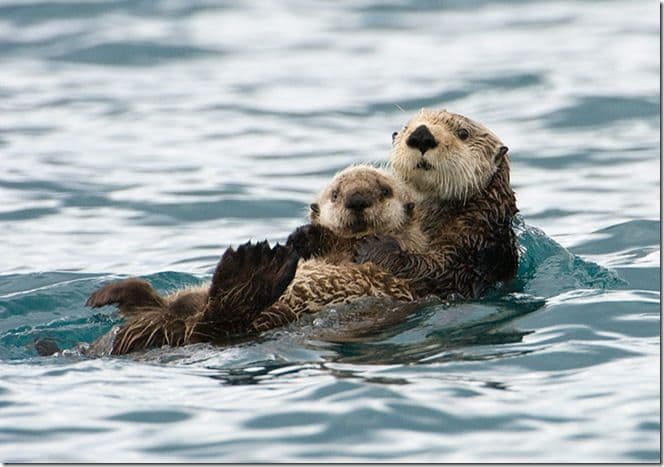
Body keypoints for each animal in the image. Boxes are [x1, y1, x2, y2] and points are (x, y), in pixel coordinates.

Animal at [38, 166, 427, 356]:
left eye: (384, 191)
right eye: (335, 194)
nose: (357, 200)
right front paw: (302, 236)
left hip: (255, 317)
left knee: (214, 321)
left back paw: (253, 267)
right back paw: (115, 294)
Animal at [293, 109, 519, 299]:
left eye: (463, 133)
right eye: (406, 127)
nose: (421, 135)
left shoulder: (474, 237)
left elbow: (439, 273)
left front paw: (376, 245)